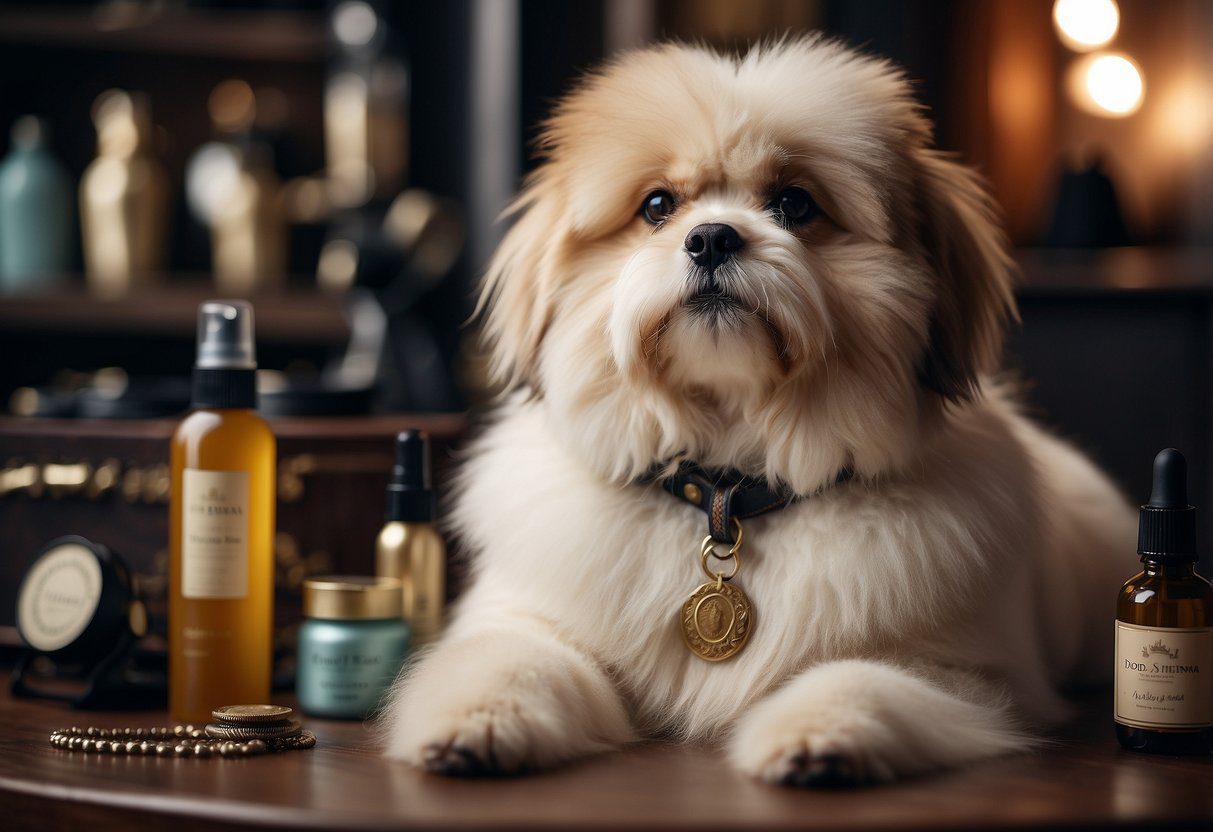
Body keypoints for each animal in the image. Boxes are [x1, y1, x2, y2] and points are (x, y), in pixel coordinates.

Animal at [385, 34, 1135, 790]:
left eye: (795, 204)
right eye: (658, 205)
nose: (712, 237)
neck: (727, 489)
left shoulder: (965, 674)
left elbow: (860, 678)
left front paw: (819, 737)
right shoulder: (521, 618)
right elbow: (513, 661)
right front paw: (477, 722)